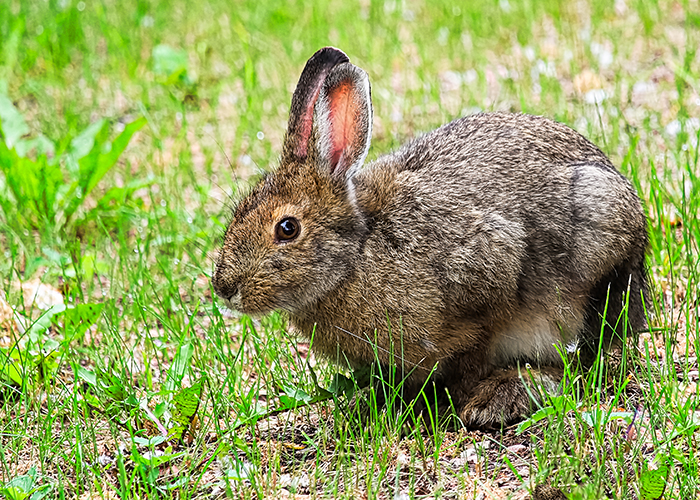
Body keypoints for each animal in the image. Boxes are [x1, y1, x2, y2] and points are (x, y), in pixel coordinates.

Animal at [213, 47, 649, 429]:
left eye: (287, 228)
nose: (225, 288)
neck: (357, 252)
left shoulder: (488, 275)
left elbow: (474, 352)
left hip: (591, 270)